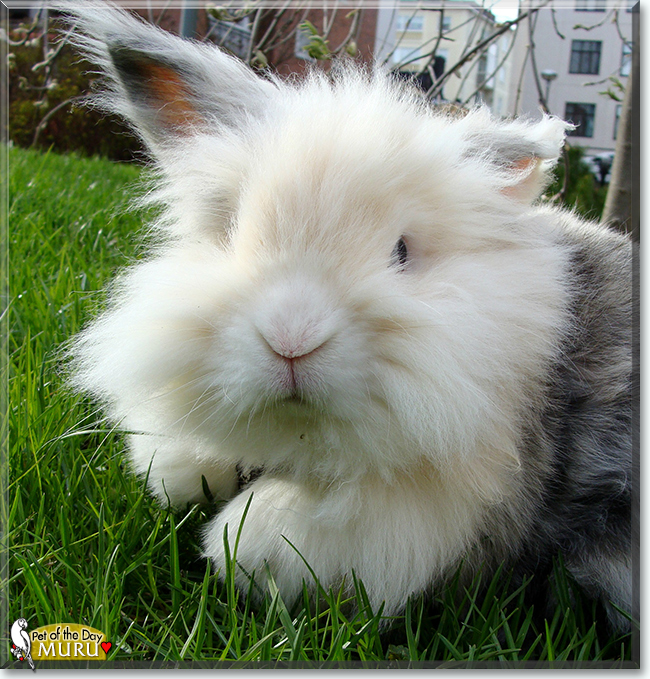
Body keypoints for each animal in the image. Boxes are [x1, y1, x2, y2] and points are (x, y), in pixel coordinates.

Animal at [60, 2, 634, 631]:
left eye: (401, 252)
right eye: (231, 229)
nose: (290, 340)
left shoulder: (435, 506)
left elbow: (280, 533)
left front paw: (238, 540)